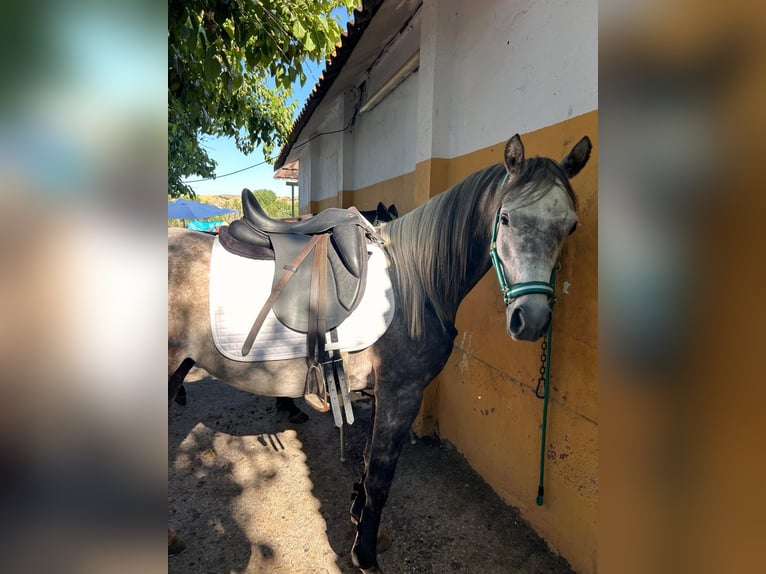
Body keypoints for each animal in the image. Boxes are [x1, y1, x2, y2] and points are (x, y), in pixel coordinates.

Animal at [168, 134, 592, 572]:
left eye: (570, 225)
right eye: (505, 219)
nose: (533, 319)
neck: (413, 283)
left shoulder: (381, 394)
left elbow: (369, 460)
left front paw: (358, 516)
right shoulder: (400, 393)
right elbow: (381, 476)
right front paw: (365, 553)